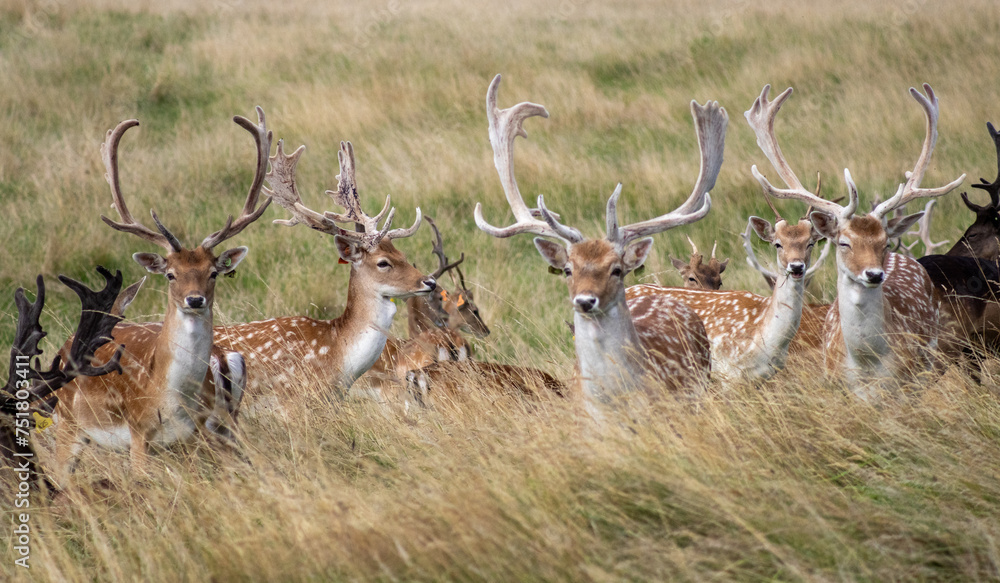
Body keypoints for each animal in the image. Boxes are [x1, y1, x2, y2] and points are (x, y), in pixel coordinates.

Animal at [52, 108, 271, 482]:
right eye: (171, 274)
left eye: (213, 273)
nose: (194, 299)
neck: (168, 401)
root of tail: (64, 348)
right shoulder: (138, 431)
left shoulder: (197, 433)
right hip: (67, 424)